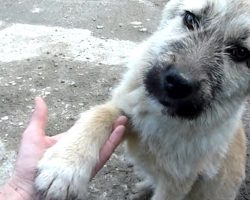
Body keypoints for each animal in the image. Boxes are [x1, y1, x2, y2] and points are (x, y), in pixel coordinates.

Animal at [34, 0, 248, 198]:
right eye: (190, 19)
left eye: (240, 52)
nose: (177, 82)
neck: (162, 118)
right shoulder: (126, 110)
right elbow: (99, 114)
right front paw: (64, 167)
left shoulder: (177, 182)